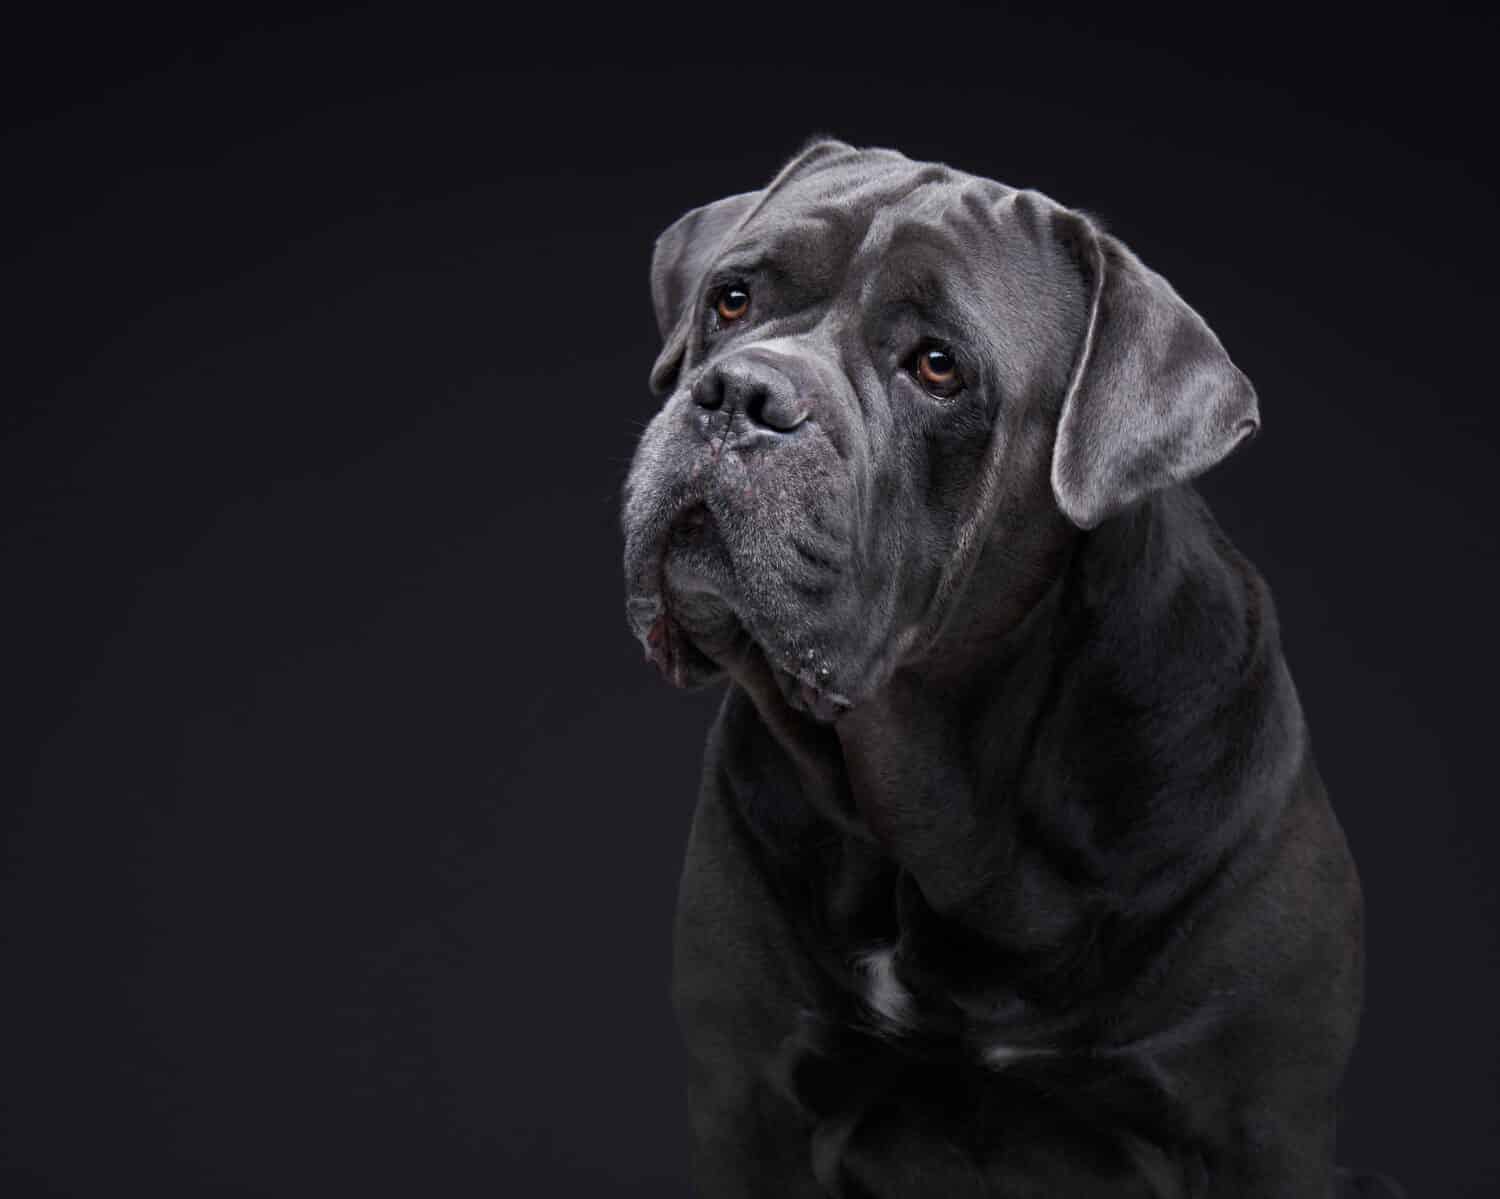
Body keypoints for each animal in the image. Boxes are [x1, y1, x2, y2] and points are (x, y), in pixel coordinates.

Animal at [615, 141, 1398, 1199]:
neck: (951, 811)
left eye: (938, 365)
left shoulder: (1257, 1125)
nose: (742, 394)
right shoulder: (747, 1090)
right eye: (731, 300)